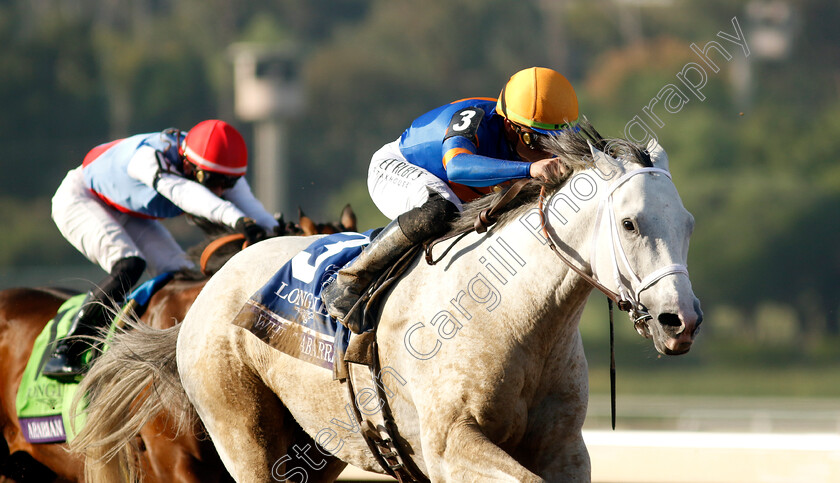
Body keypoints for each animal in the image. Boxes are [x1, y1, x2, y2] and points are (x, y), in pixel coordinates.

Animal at [74, 130, 704, 483]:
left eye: (688, 224)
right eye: (630, 223)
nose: (681, 321)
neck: (515, 318)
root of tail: (208, 289)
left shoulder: (564, 449)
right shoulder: (451, 447)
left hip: (314, 448)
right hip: (240, 429)